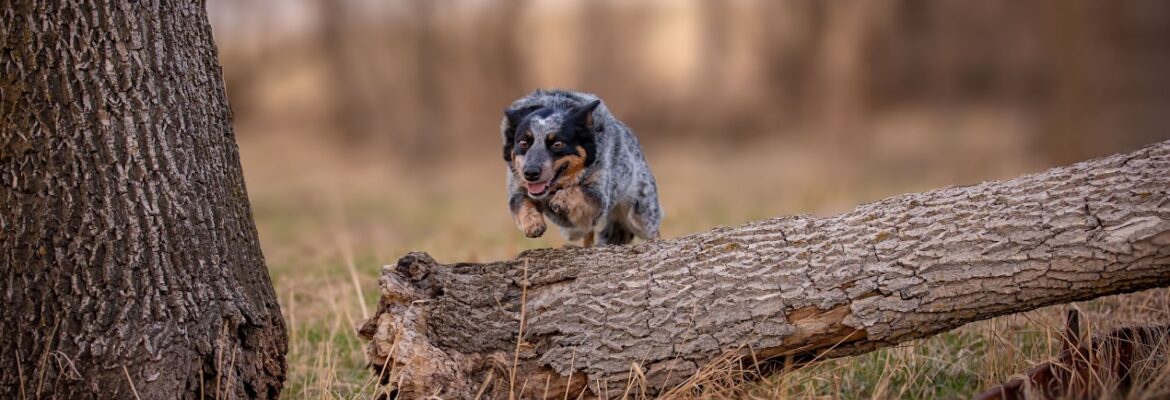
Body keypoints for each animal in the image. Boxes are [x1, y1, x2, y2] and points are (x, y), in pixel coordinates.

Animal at [500, 90, 664, 246]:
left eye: (557, 143)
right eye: (523, 142)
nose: (530, 173)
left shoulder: (598, 198)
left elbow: (579, 191)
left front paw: (561, 198)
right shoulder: (518, 189)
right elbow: (522, 205)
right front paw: (532, 224)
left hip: (641, 212)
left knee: (653, 230)